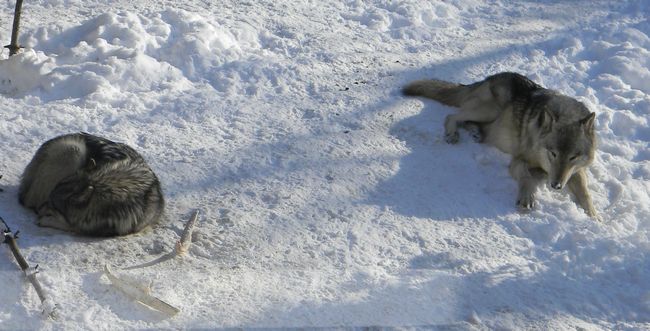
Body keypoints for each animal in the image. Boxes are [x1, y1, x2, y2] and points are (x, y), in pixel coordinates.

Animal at [19, 132, 165, 236]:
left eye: (53, 204)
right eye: (50, 200)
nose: (41, 211)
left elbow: (75, 227)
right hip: (74, 150)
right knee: (30, 201)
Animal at [402, 72, 596, 218]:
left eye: (573, 157)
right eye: (553, 153)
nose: (556, 186)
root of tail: (487, 78)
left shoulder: (577, 171)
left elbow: (585, 192)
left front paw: (594, 216)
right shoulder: (518, 161)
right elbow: (527, 178)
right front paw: (527, 198)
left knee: (467, 121)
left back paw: (476, 133)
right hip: (490, 110)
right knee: (452, 116)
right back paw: (452, 134)